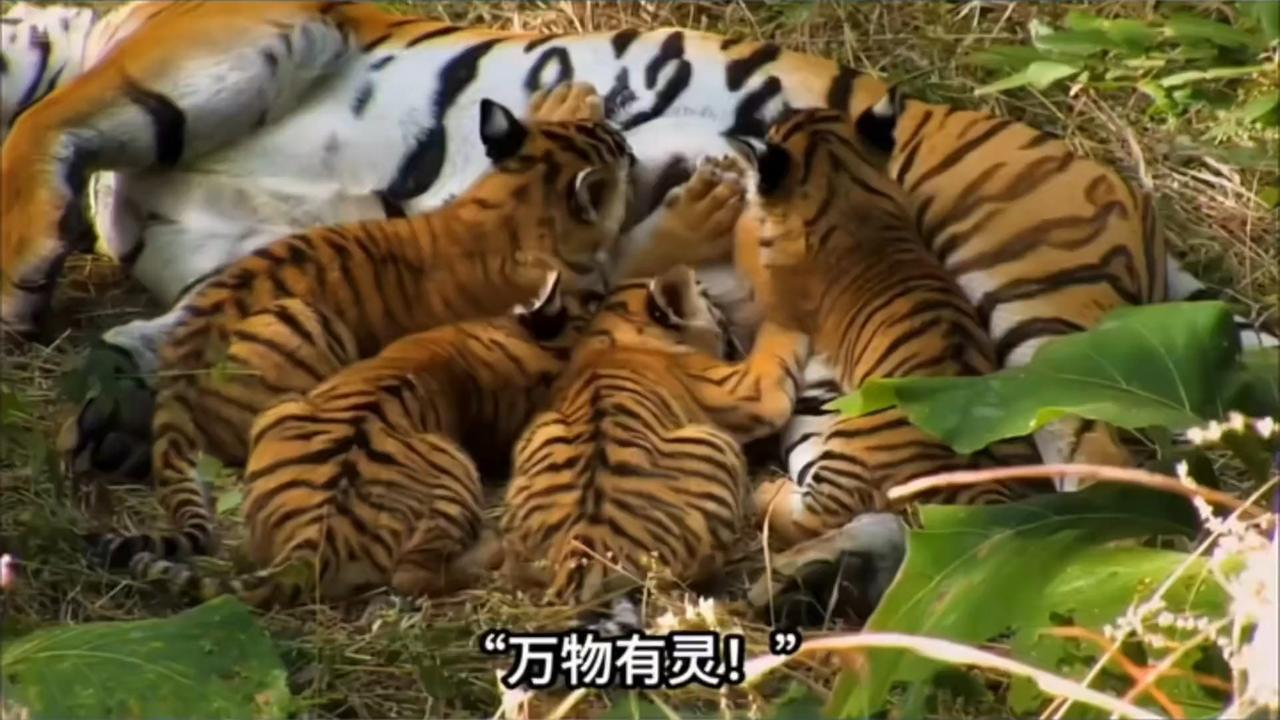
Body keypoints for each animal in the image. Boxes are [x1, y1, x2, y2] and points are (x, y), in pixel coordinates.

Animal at [500, 263, 809, 619]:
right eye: (706, 296)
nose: (726, 312)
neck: (612, 325)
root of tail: (585, 549)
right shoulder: (749, 388)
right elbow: (777, 348)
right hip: (716, 445)